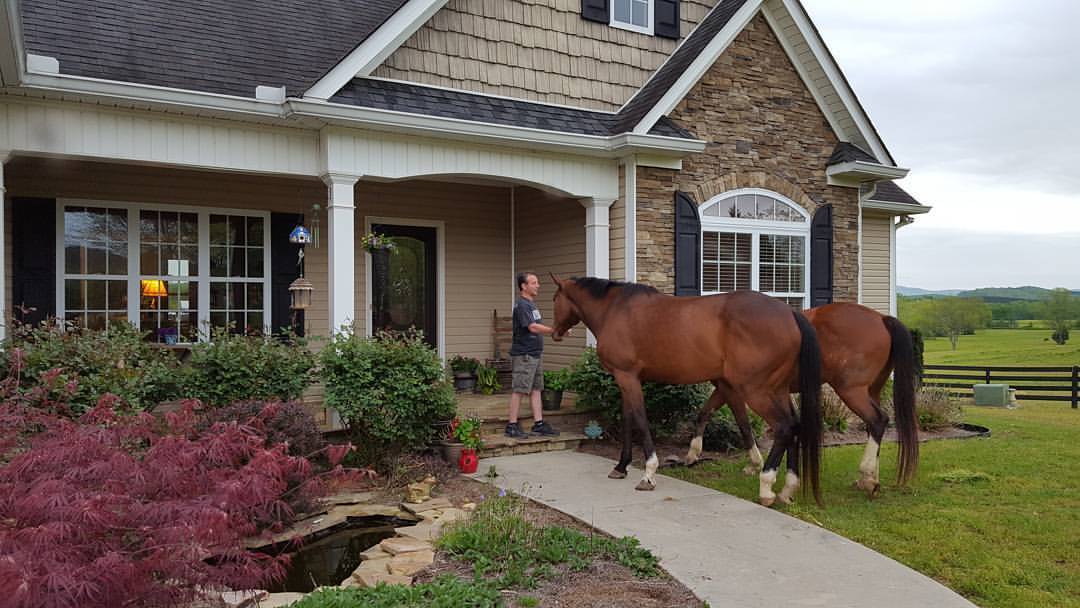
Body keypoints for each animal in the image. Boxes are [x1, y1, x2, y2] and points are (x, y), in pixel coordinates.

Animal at [550, 275, 825, 506]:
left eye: (554, 299)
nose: (554, 332)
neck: (614, 309)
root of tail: (790, 313)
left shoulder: (627, 377)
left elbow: (639, 419)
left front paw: (648, 473)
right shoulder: (626, 378)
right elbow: (629, 420)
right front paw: (621, 466)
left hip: (756, 390)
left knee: (784, 427)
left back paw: (766, 487)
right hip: (777, 390)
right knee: (795, 425)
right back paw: (787, 488)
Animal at [684, 302, 919, 497]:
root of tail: (882, 319)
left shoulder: (731, 389)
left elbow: (742, 424)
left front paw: (754, 463)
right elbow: (705, 412)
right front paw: (693, 454)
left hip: (851, 390)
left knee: (878, 420)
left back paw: (867, 476)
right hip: (872, 390)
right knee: (873, 426)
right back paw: (869, 479)